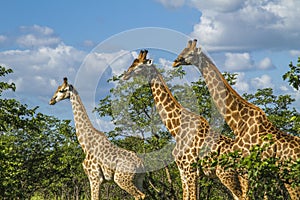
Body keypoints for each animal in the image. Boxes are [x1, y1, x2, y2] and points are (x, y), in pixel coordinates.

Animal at [122, 50, 246, 200]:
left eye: (139, 65)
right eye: (132, 62)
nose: (125, 75)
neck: (176, 128)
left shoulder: (190, 168)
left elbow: (192, 197)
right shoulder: (182, 170)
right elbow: (186, 196)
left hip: (227, 175)